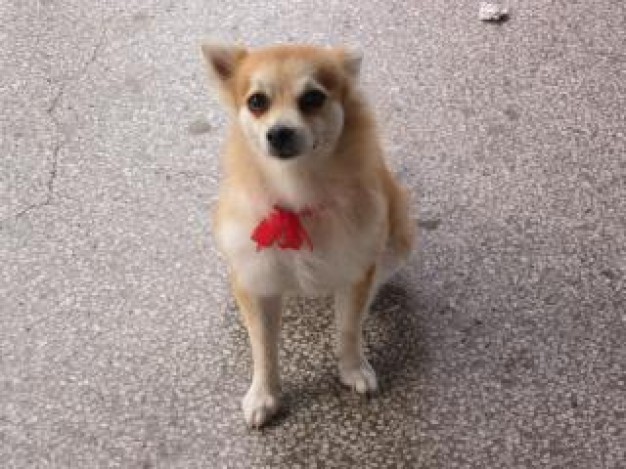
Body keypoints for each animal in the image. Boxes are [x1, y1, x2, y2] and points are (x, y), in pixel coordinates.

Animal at [201, 44, 414, 428]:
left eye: (313, 98)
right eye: (257, 102)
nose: (279, 132)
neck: (296, 191)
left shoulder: (355, 271)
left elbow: (348, 328)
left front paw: (353, 368)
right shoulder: (257, 282)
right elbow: (263, 347)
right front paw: (264, 394)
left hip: (399, 235)